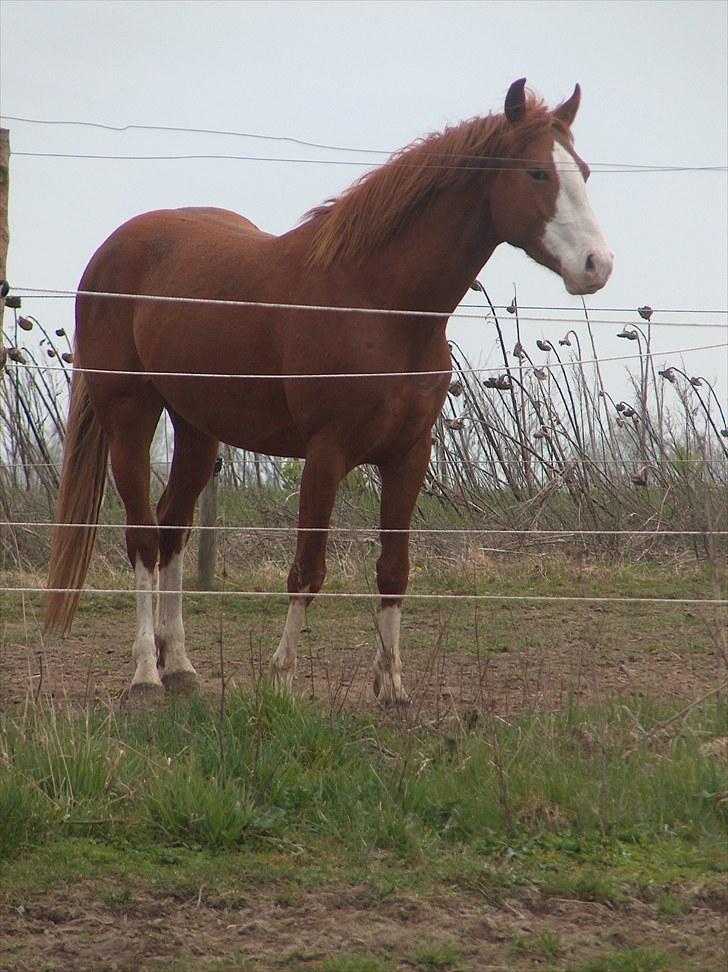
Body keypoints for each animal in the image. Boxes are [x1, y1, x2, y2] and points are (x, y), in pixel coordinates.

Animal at [45, 76, 612, 700]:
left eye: (583, 171)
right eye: (536, 173)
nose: (597, 265)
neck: (378, 303)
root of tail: (112, 252)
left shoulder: (409, 455)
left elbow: (393, 570)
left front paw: (391, 686)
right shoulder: (326, 454)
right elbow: (307, 571)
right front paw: (281, 679)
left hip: (197, 429)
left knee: (171, 532)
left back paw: (183, 669)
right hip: (129, 416)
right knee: (143, 539)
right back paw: (147, 674)